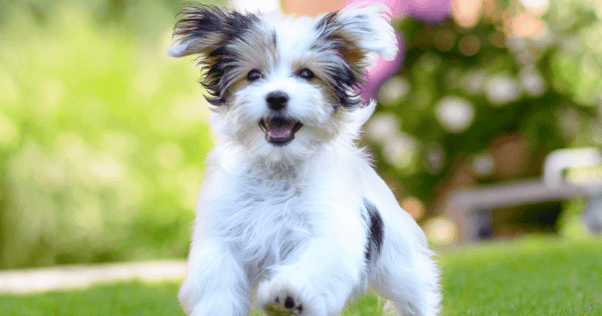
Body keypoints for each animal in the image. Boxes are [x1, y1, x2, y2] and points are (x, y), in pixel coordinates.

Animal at [166, 3, 438, 316]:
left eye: (307, 74)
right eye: (253, 75)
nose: (276, 98)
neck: (278, 166)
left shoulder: (329, 231)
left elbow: (315, 264)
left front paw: (287, 295)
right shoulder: (222, 234)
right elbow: (218, 280)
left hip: (398, 261)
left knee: (413, 292)